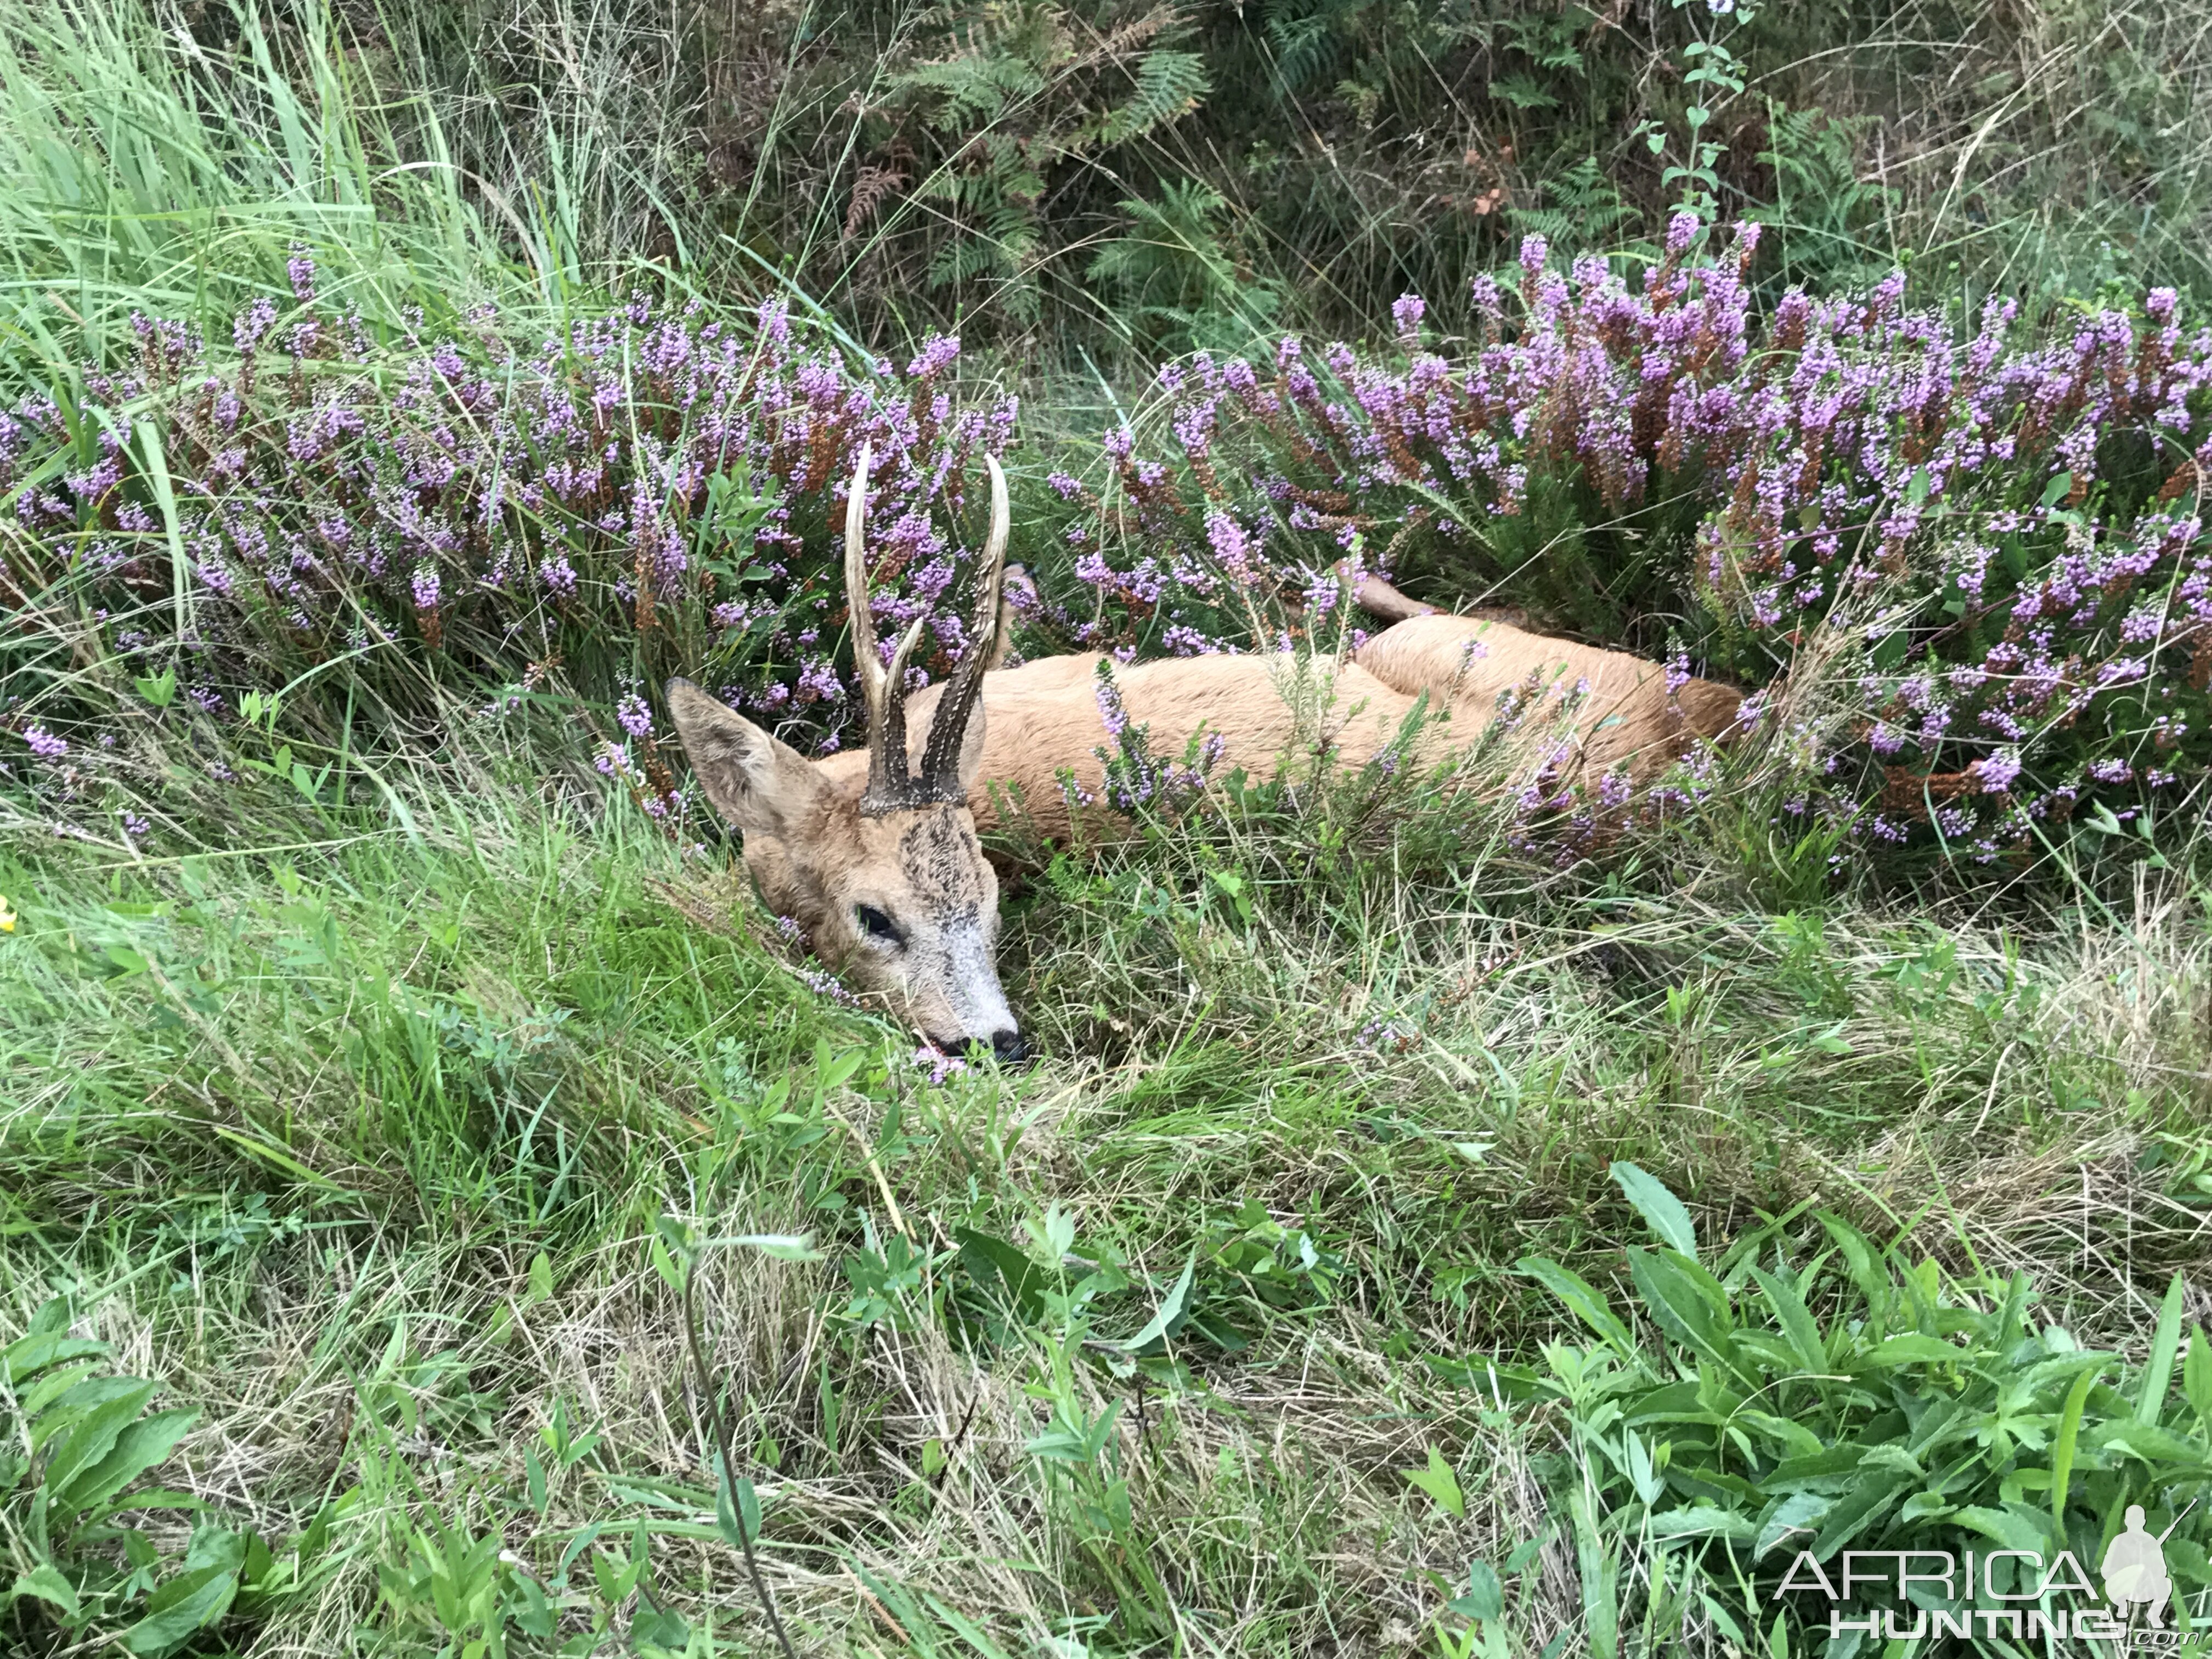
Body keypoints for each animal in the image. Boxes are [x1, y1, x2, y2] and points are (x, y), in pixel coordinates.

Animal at [663, 449, 1734, 1057]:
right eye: (873, 917)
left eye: (993, 901)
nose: (996, 1044)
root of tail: (1685, 724)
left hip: (1452, 650)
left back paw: (1331, 567)